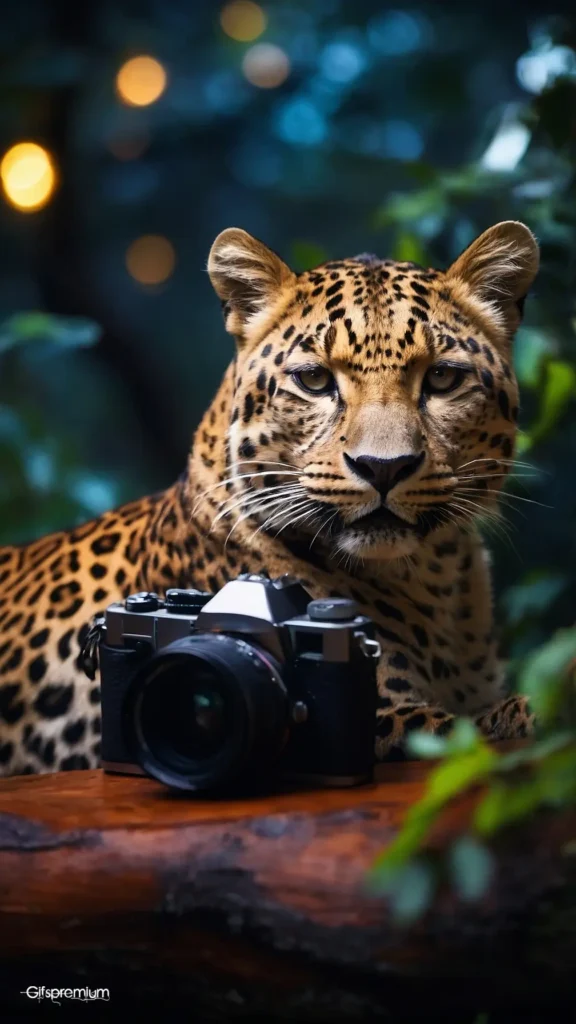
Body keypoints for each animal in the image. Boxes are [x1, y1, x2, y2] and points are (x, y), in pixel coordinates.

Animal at [0, 219, 540, 777]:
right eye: (315, 380)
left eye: (442, 377)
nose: (383, 467)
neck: (436, 585)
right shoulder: (390, 716)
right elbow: (472, 729)